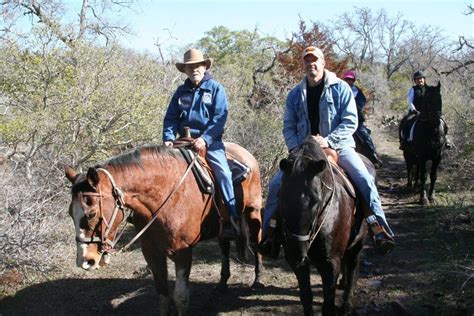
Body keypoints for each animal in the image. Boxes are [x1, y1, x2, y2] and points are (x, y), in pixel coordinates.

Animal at [63, 143, 262, 314]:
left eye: (91, 214)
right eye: (70, 213)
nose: (85, 261)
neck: (164, 198)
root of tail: (245, 153)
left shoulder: (183, 253)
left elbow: (180, 298)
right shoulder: (151, 252)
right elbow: (163, 296)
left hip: (253, 213)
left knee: (256, 242)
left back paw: (257, 281)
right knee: (224, 247)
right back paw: (222, 283)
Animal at [280, 138, 368, 316]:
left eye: (316, 199)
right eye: (281, 196)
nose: (296, 251)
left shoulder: (330, 263)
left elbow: (328, 304)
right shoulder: (298, 264)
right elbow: (306, 297)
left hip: (357, 244)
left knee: (353, 266)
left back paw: (347, 305)